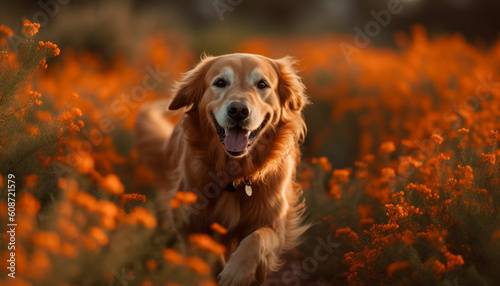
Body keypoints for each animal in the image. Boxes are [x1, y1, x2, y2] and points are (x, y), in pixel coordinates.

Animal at [137, 53, 308, 284]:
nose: (238, 110)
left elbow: (257, 238)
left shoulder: (274, 224)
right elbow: (206, 251)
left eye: (262, 84)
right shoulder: (188, 222)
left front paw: (237, 273)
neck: (235, 174)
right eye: (220, 82)